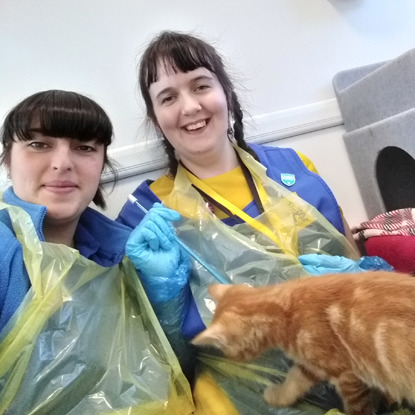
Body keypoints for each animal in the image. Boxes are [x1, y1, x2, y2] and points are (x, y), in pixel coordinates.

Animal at [192, 272, 415, 415]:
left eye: (227, 351)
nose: (231, 359)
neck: (283, 309)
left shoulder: (344, 373)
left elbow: (357, 407)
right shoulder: (313, 366)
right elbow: (294, 379)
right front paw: (279, 397)